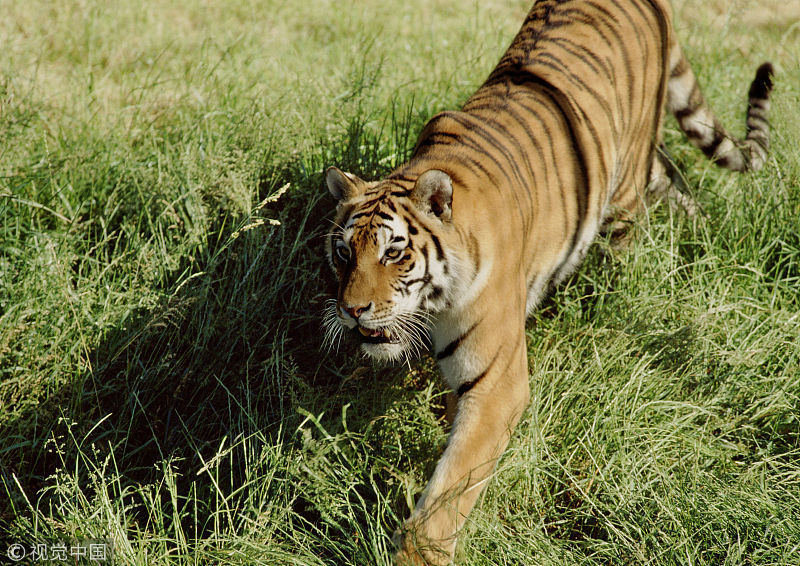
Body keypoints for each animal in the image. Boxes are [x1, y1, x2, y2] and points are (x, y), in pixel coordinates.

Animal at [322, 0, 772, 564]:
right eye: (344, 253)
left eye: (394, 252)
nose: (352, 310)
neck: (436, 301)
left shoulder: (497, 385)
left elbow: (449, 491)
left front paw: (418, 553)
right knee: (675, 181)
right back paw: (703, 236)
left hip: (624, 184)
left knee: (633, 230)